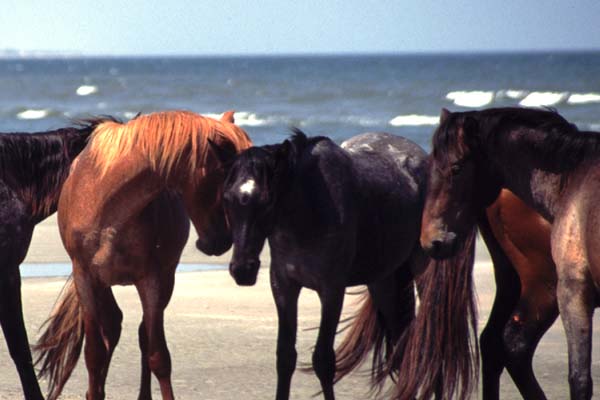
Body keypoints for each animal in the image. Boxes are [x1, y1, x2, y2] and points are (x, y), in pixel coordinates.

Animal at [32, 110, 253, 400]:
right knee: (112, 326)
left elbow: (158, 356)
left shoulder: (152, 280)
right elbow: (94, 353)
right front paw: (94, 390)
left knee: (141, 335)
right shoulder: (86, 278)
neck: (106, 203)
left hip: (165, 281)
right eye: (225, 180)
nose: (221, 242)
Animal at [219, 130, 478, 398]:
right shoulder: (283, 287)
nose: (242, 269)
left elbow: (323, 360)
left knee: (432, 342)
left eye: (267, 201)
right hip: (384, 283)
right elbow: (285, 357)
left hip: (422, 271)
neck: (309, 207)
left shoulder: (332, 292)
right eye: (227, 199)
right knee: (402, 344)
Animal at [420, 107, 600, 400]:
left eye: (456, 168)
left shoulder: (575, 291)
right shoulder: (574, 291)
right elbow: (580, 378)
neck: (574, 180)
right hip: (539, 288)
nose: (432, 240)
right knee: (510, 346)